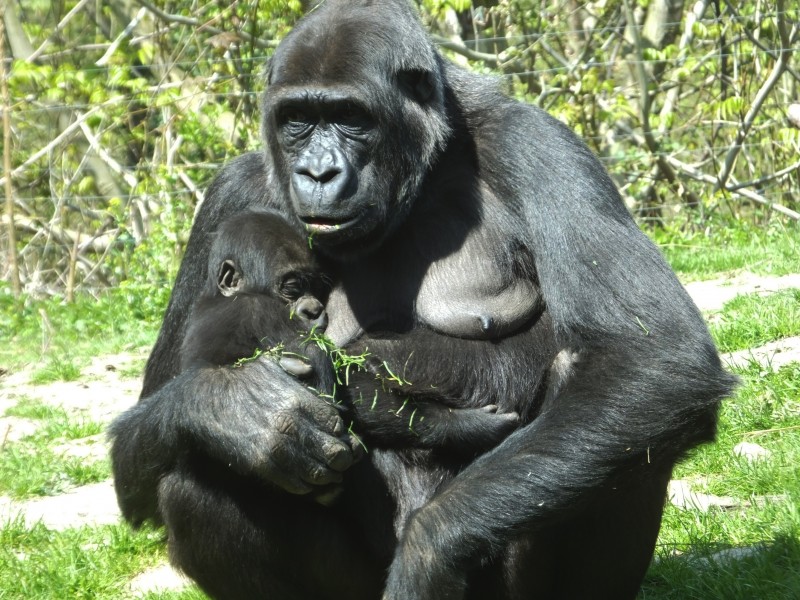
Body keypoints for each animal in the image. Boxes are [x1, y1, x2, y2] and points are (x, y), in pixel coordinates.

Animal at [181, 210, 520, 454]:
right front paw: (466, 425)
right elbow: (330, 377)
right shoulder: (262, 312)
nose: (315, 310)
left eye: (317, 287)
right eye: (292, 288)